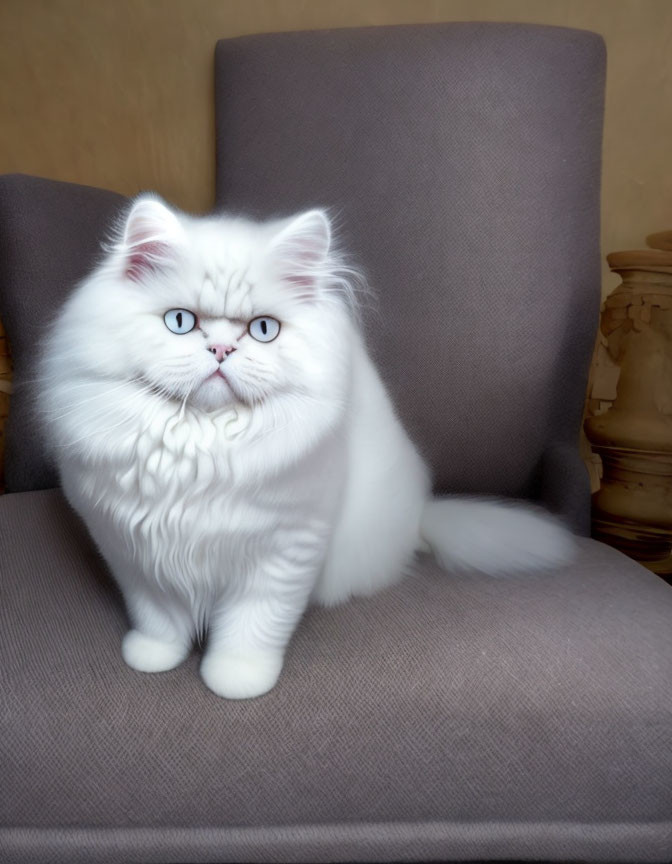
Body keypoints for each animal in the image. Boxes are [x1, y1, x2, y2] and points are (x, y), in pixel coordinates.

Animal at [38, 194, 572, 696]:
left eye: (263, 329)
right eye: (180, 322)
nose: (221, 350)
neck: (204, 443)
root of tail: (419, 519)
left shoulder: (283, 549)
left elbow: (250, 628)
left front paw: (236, 680)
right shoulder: (133, 551)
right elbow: (159, 618)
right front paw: (153, 657)